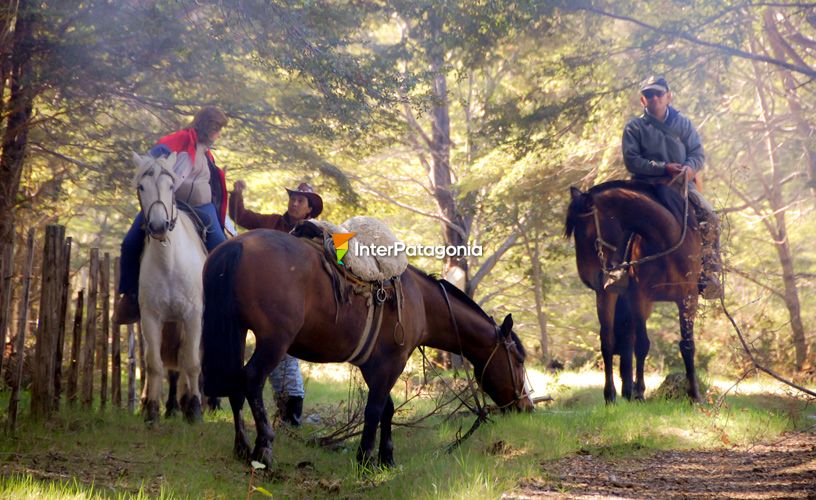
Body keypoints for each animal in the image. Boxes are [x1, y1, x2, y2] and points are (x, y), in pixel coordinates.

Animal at [132, 153, 206, 426]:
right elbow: (154, 363)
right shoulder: (151, 318)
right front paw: (152, 411)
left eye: (171, 186)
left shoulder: (193, 316)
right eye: (141, 187)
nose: (157, 226)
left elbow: (192, 362)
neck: (170, 262)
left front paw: (194, 409)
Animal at [202, 230, 536, 468]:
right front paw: (365, 458)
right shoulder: (392, 362)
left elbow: (386, 408)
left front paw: (386, 459)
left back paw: (242, 446)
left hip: (235, 331)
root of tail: (237, 246)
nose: (527, 406)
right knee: (251, 380)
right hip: (274, 341)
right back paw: (264, 448)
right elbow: (375, 409)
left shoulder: (375, 365)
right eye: (519, 359)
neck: (420, 301)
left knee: (234, 384)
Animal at [564, 182, 704, 404]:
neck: (664, 242)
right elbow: (642, 345)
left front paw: (695, 396)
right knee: (609, 341)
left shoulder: (688, 297)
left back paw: (627, 391)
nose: (589, 279)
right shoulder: (640, 297)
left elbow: (687, 345)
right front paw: (639, 393)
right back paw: (612, 394)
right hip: (609, 297)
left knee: (625, 338)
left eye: (586, 234)